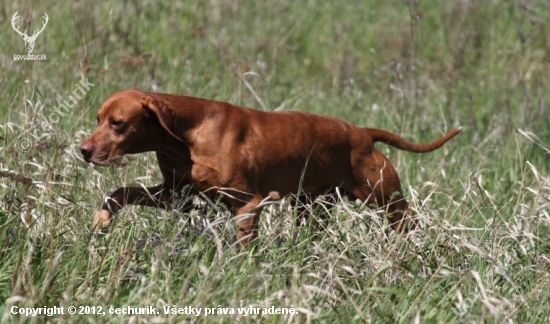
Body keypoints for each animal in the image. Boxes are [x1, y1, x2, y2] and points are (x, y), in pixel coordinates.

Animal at [78, 88, 462, 243]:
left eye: (117, 123)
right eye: (98, 119)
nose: (83, 150)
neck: (188, 133)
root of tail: (363, 133)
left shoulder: (247, 205)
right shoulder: (174, 196)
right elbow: (119, 192)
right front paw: (102, 220)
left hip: (388, 202)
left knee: (411, 224)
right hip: (312, 207)